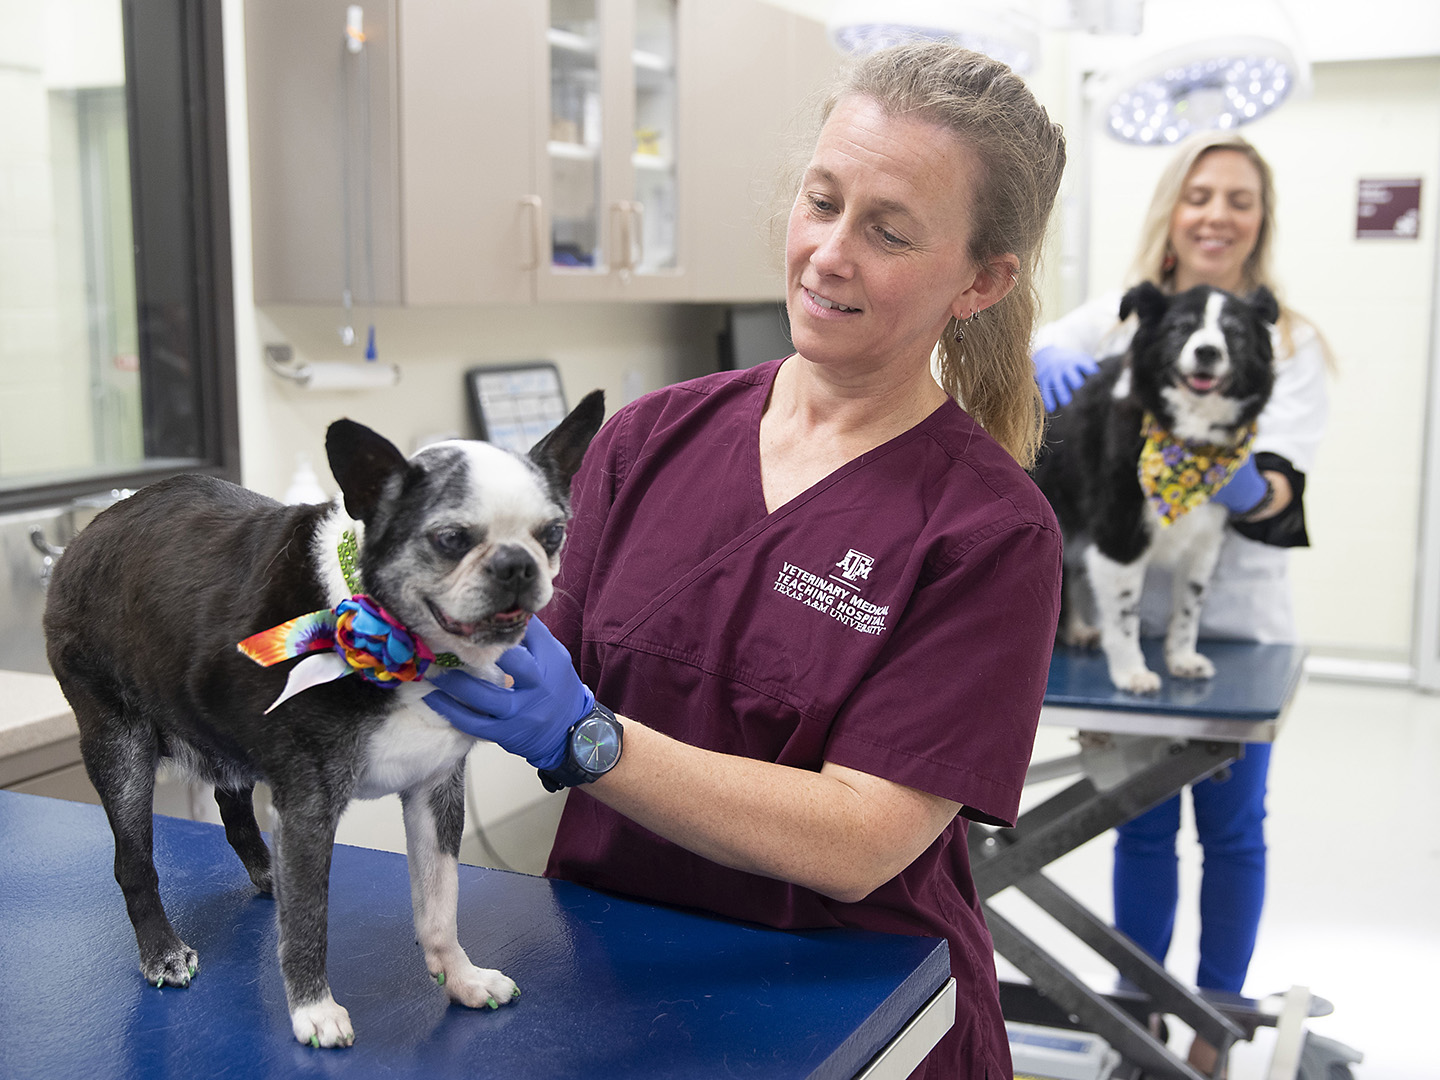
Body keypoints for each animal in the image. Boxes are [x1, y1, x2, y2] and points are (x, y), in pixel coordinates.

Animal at [40, 394, 601, 1048]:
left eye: (553, 534)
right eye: (451, 539)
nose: (517, 564)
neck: (399, 645)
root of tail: (86, 535)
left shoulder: (436, 793)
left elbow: (440, 904)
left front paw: (461, 978)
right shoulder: (309, 806)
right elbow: (309, 921)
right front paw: (313, 1011)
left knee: (234, 810)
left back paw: (267, 873)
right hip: (120, 746)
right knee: (134, 862)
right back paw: (162, 949)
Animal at [1031, 288, 1278, 694]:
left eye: (1234, 332)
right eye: (1180, 327)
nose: (1207, 352)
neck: (1187, 440)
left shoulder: (1204, 542)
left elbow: (1188, 610)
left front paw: (1182, 659)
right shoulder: (1118, 538)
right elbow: (1124, 613)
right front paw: (1131, 671)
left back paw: (1077, 629)